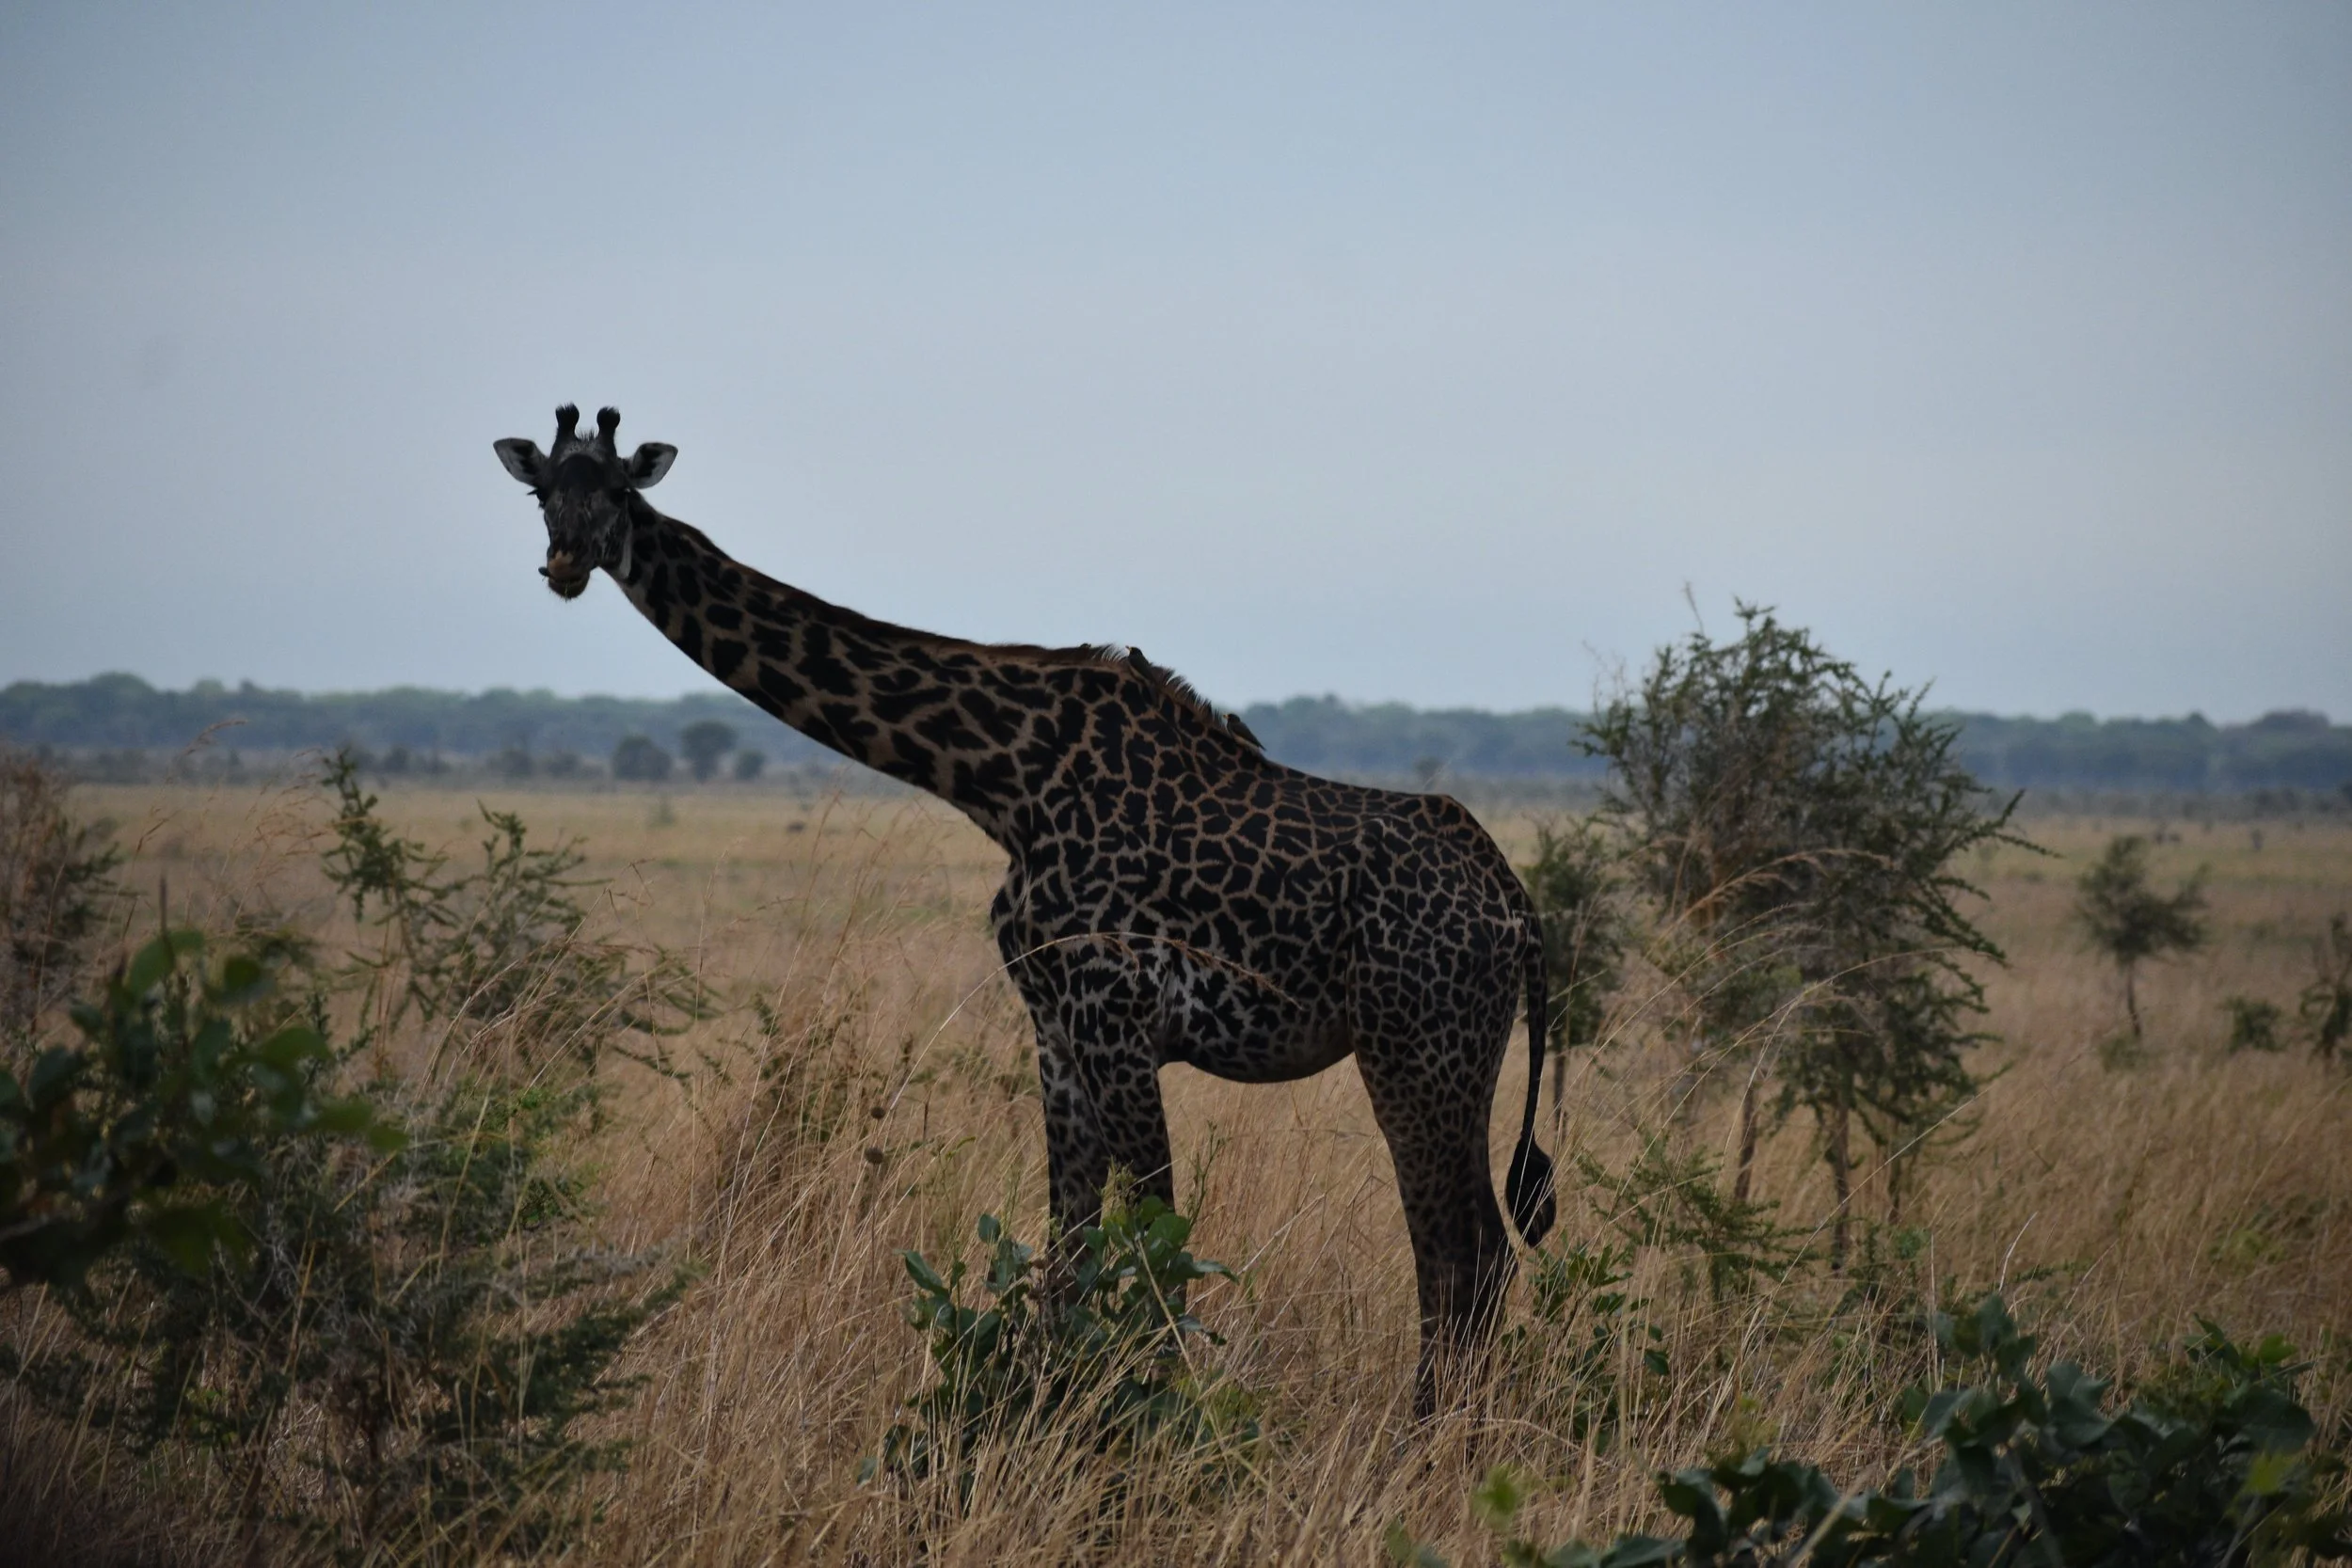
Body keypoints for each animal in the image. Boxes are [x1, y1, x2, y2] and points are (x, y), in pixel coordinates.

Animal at [494, 404, 1557, 1411]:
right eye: (542, 491)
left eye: (616, 490)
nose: (562, 563)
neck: (999, 775)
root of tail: (1516, 908)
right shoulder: (1054, 1026)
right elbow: (1067, 1258)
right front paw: (1061, 1408)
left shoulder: (1115, 1016)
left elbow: (1159, 1252)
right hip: (1459, 1056)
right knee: (1478, 1252)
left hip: (1414, 1049)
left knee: (1460, 1253)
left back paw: (1423, 1441)